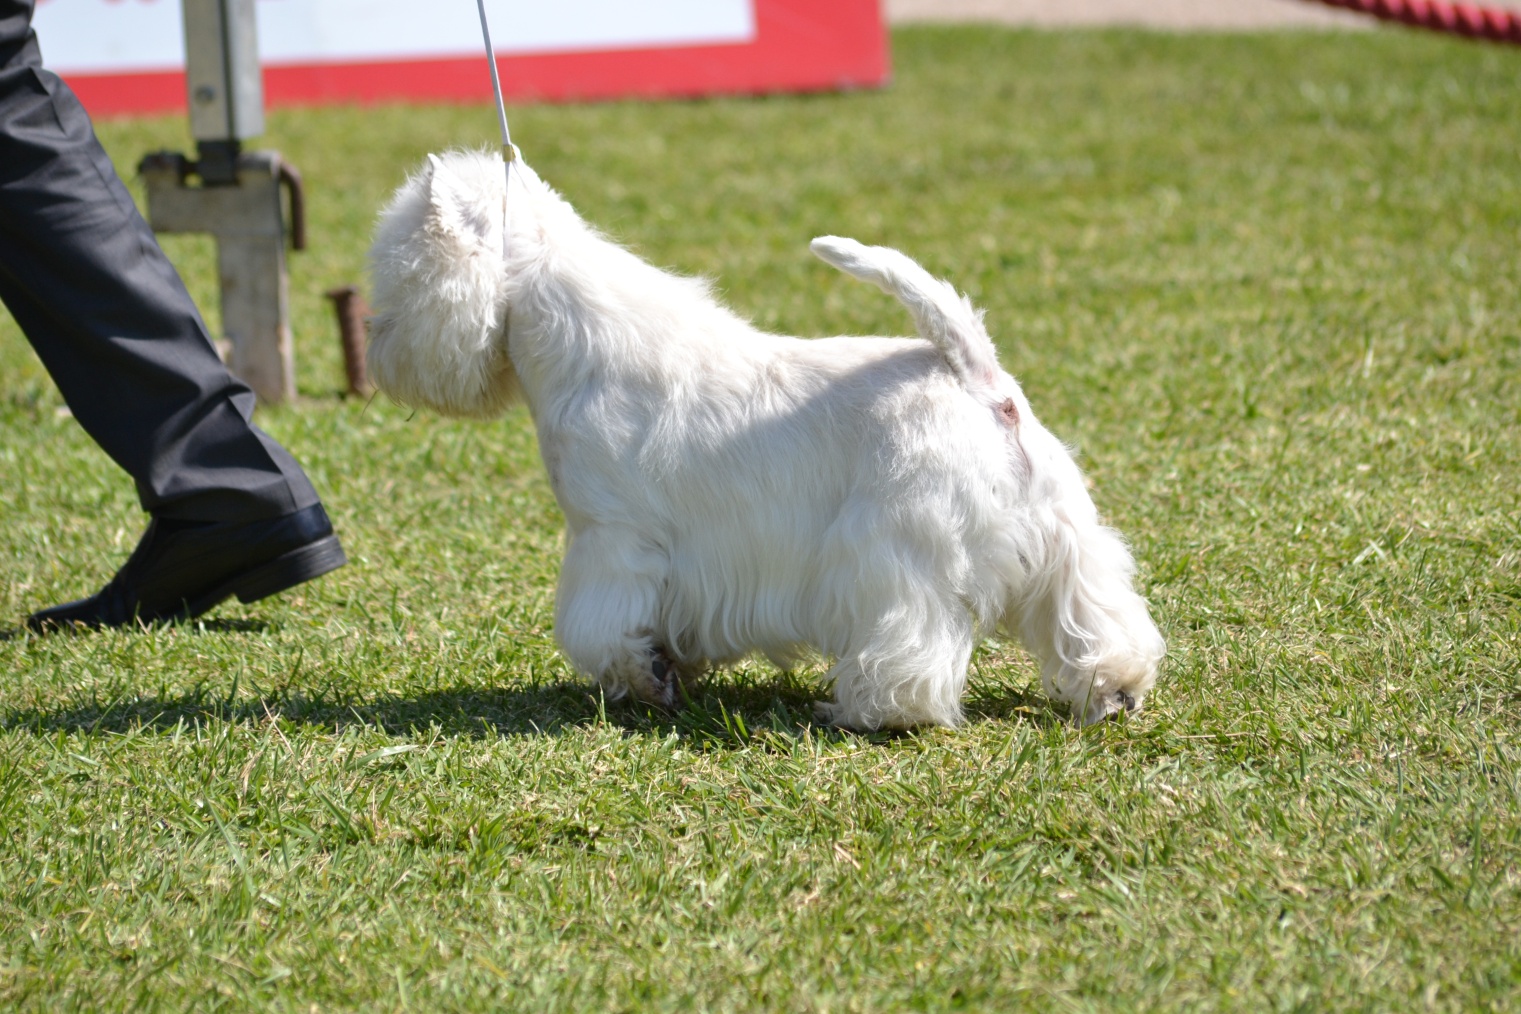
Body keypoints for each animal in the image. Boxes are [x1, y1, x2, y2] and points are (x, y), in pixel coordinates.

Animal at [368, 150, 1162, 726]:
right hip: (1063, 539)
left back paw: (865, 710)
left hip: (895, 550)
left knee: (912, 645)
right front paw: (669, 673)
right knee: (1095, 618)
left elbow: (603, 626)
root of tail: (980, 378)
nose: (373, 345)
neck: (576, 343)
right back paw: (1113, 691)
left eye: (398, 269)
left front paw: (640, 681)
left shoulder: (612, 539)